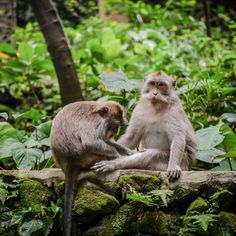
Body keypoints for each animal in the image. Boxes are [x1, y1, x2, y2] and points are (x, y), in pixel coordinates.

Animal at [50, 101, 132, 236]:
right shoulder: (97, 123)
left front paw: (130, 153)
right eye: (114, 125)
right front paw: (119, 157)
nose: (116, 131)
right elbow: (90, 142)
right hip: (87, 158)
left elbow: (105, 140)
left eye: (118, 126)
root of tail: (68, 164)